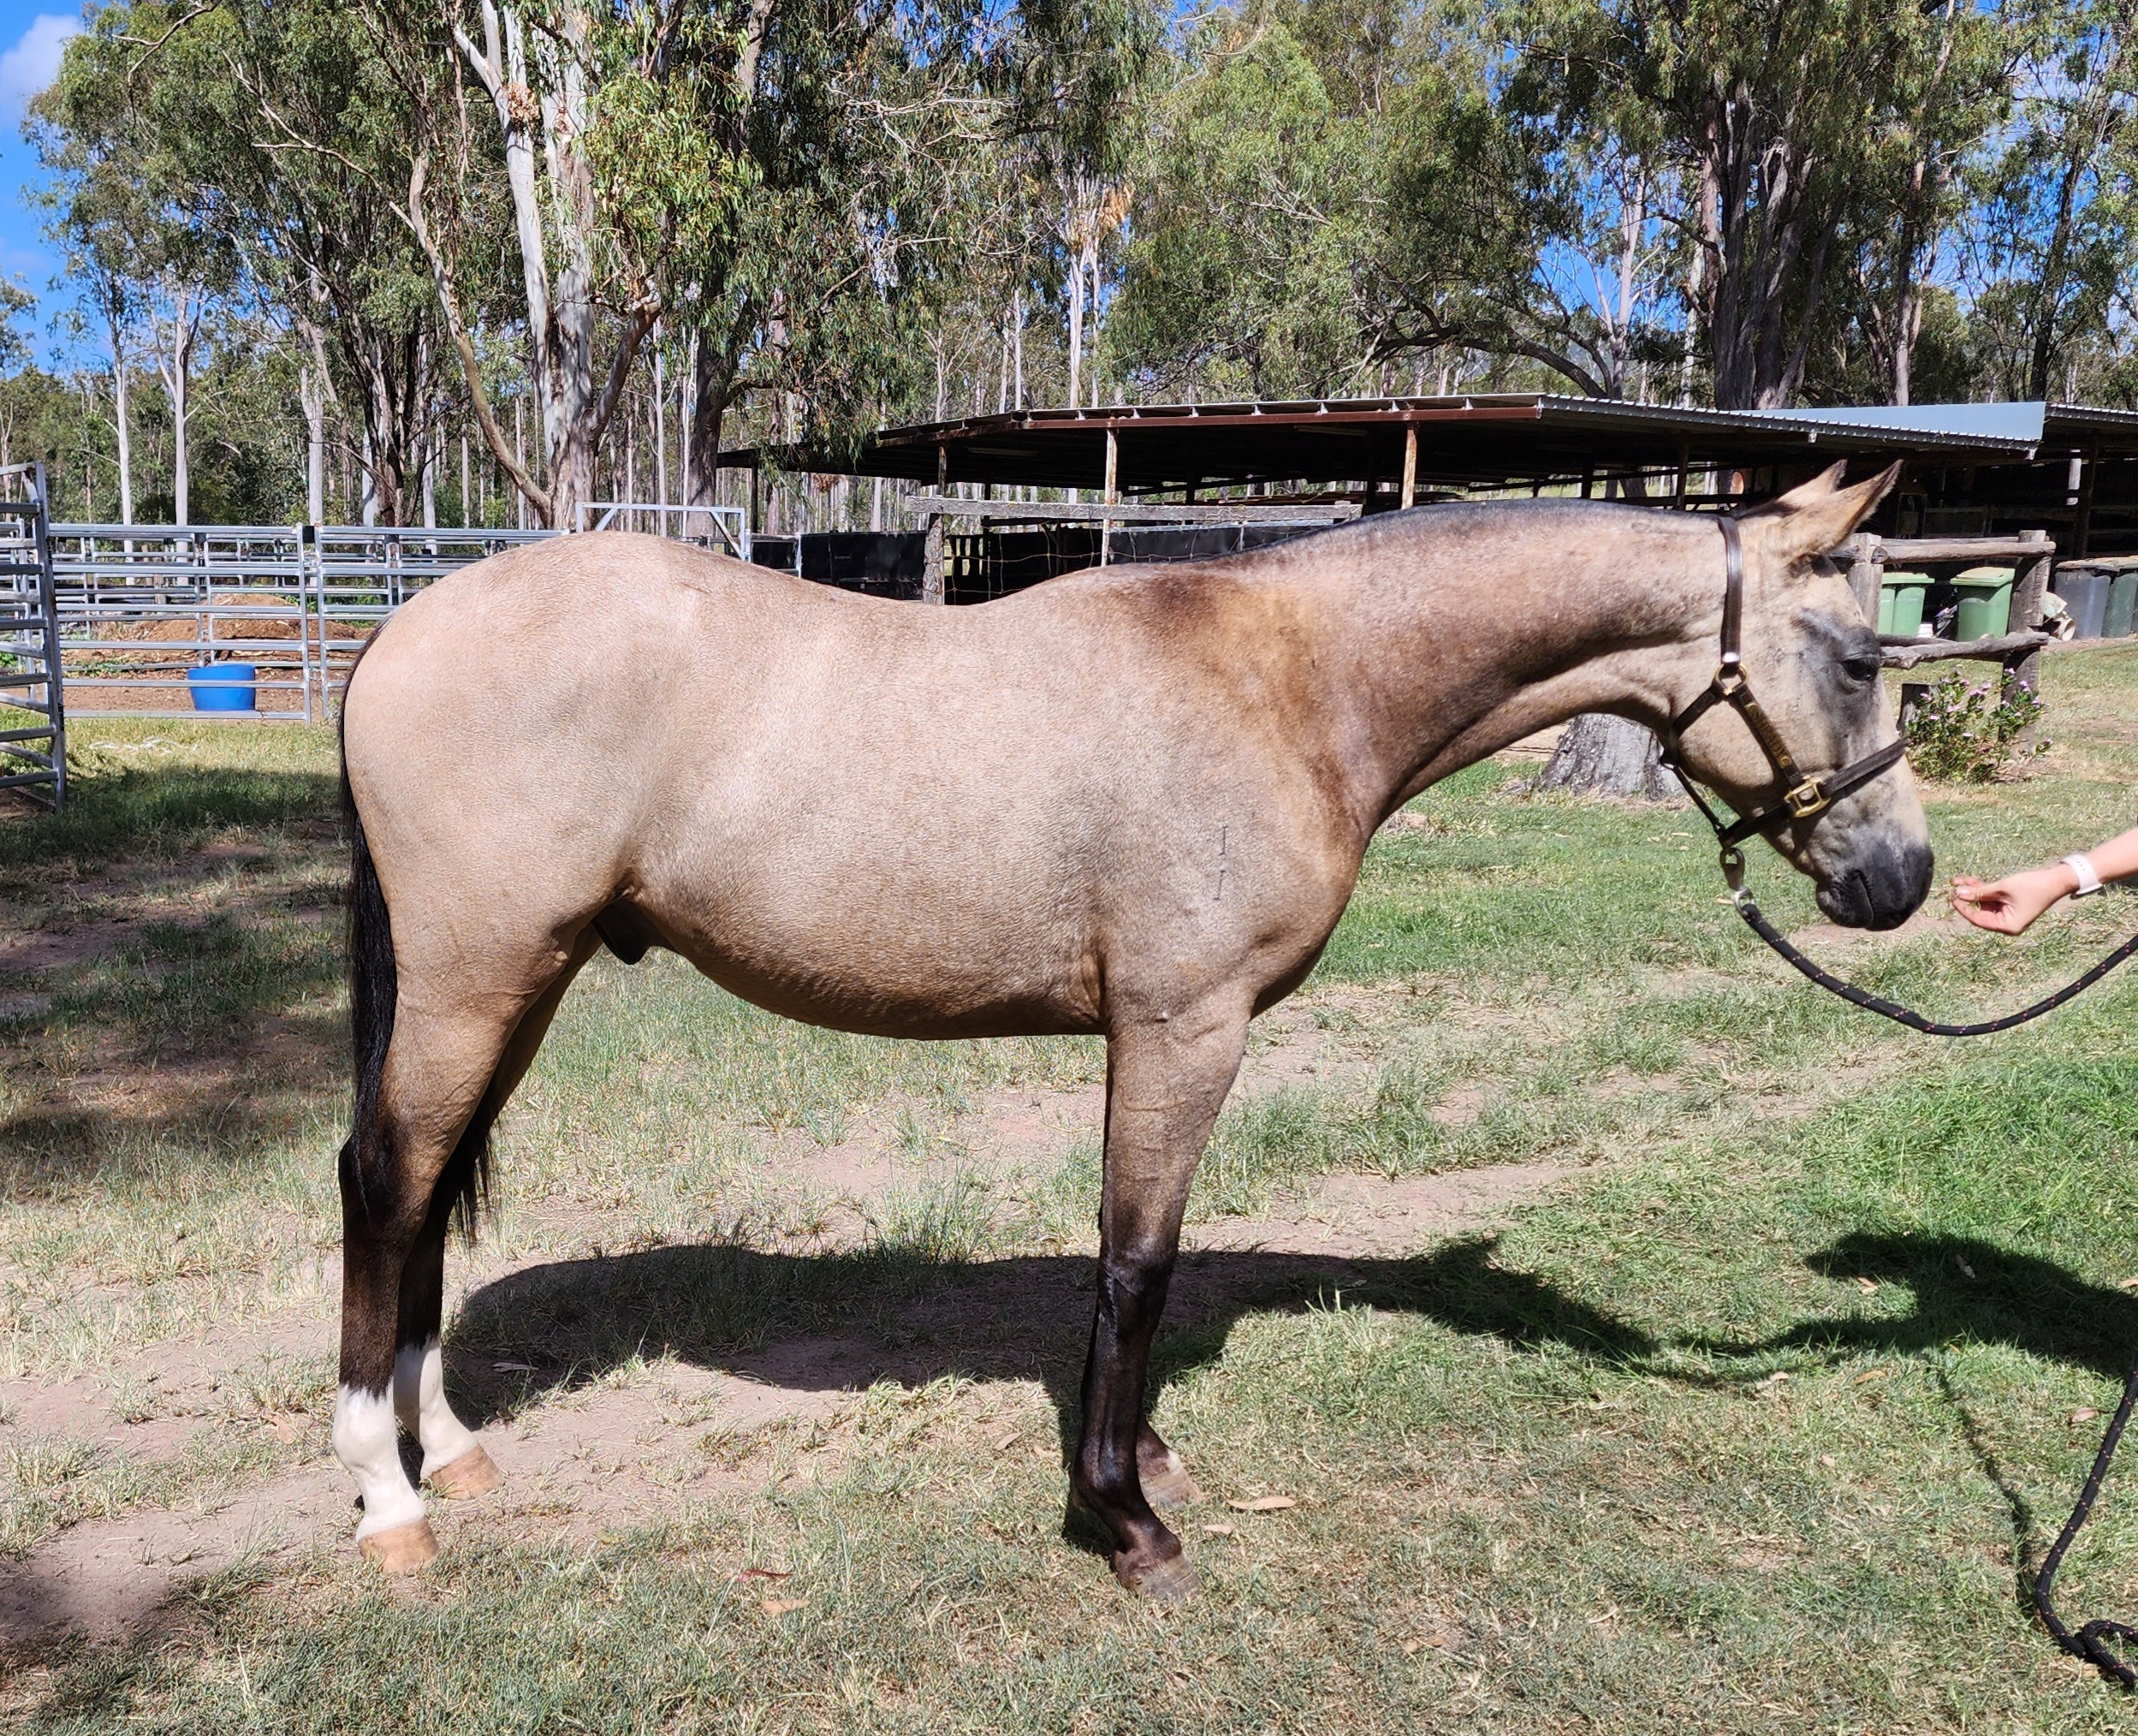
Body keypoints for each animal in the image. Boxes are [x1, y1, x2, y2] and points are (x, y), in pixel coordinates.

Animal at [330, 461, 1931, 1599]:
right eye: (1858, 660)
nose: (1902, 878)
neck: (1292, 683)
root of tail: (397, 629)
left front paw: (1141, 1456)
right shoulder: (1180, 1026)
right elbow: (1136, 1259)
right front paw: (1123, 1512)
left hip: (523, 980)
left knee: (429, 1189)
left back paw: (449, 1454)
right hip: (479, 974)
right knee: (385, 1180)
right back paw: (386, 1498)